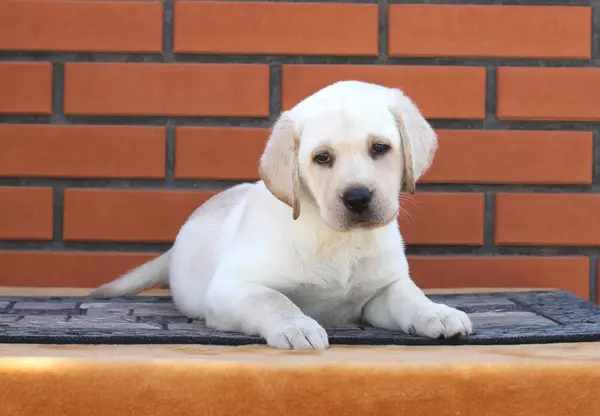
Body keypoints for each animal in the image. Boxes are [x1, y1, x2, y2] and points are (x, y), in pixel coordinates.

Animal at [90, 79, 474, 350]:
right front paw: (297, 325)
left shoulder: (381, 290)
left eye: (380, 148)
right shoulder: (233, 287)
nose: (358, 197)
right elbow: (274, 300)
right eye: (322, 158)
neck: (336, 239)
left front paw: (437, 313)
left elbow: (410, 297)